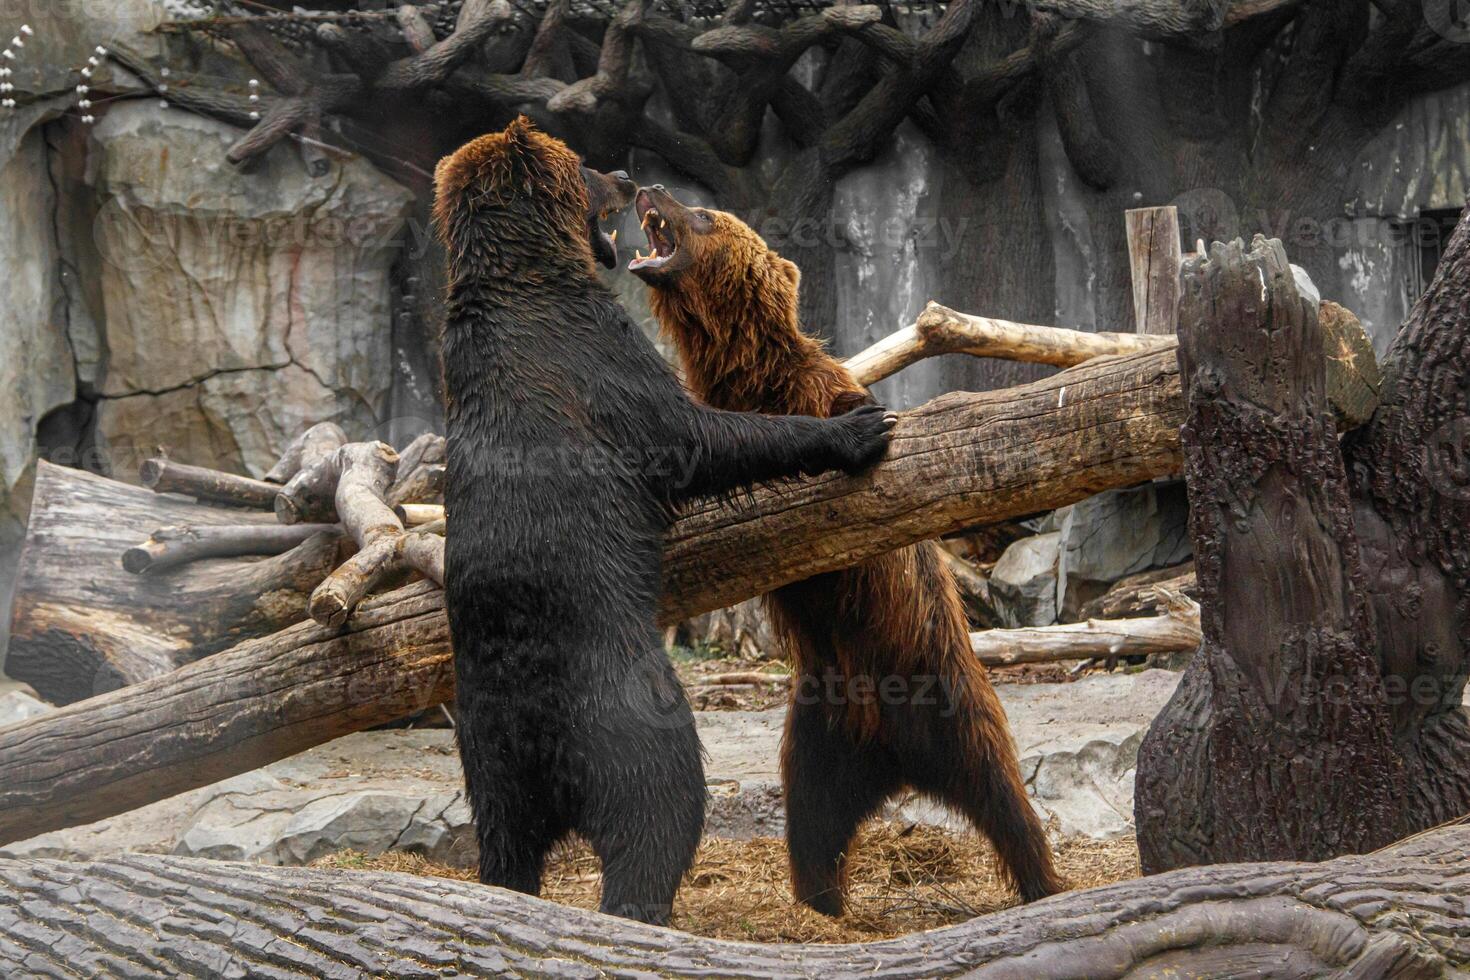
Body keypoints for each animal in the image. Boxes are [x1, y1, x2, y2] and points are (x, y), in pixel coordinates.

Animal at [429, 122, 899, 928]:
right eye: (584, 166)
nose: (625, 173)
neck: (527, 279)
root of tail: (540, 738)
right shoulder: (598, 356)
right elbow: (694, 437)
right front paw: (858, 428)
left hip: (487, 749)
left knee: (507, 842)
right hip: (621, 710)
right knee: (660, 811)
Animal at [626, 185, 1064, 922]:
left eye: (704, 214)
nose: (646, 187)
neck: (749, 376)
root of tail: (896, 757)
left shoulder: (819, 391)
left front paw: (860, 436)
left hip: (947, 692)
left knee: (1003, 796)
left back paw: (1043, 883)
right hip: (818, 728)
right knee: (813, 823)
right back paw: (820, 902)